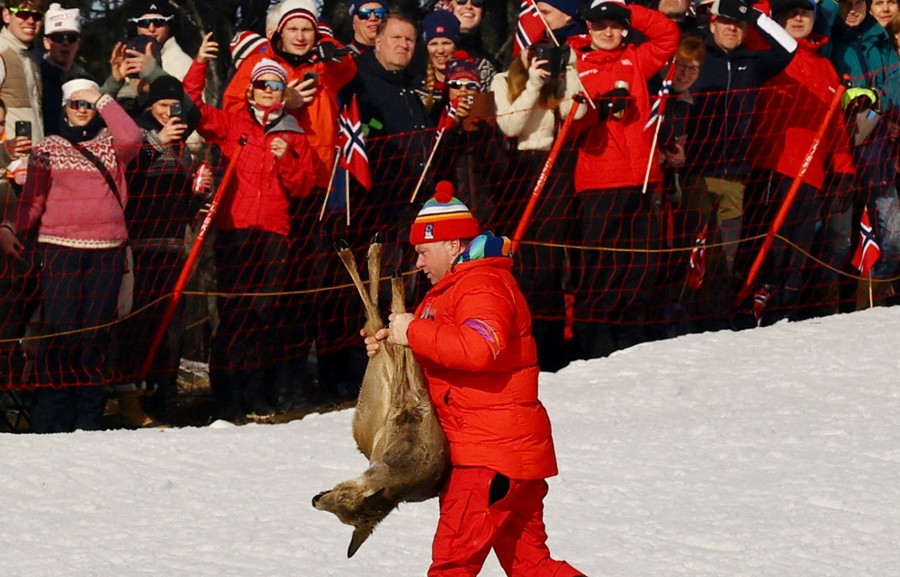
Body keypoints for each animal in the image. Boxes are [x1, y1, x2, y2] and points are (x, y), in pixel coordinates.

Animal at [312, 237, 449, 558]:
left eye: (343, 503)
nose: (315, 499)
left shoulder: (406, 402)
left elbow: (401, 346)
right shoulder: (410, 401)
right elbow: (403, 349)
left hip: (373, 394)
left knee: (374, 320)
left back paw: (361, 253)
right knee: (375, 323)